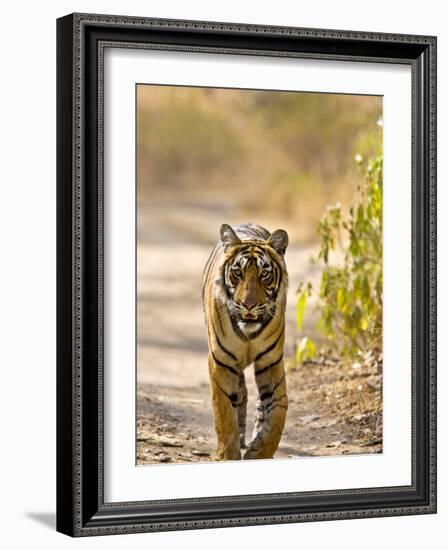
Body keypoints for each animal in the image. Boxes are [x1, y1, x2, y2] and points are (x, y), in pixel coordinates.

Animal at [202, 223, 288, 462]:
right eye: (238, 273)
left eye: (264, 274)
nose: (248, 305)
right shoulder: (221, 362)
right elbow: (223, 411)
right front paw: (227, 455)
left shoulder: (271, 363)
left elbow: (278, 411)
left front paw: (259, 452)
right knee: (239, 394)